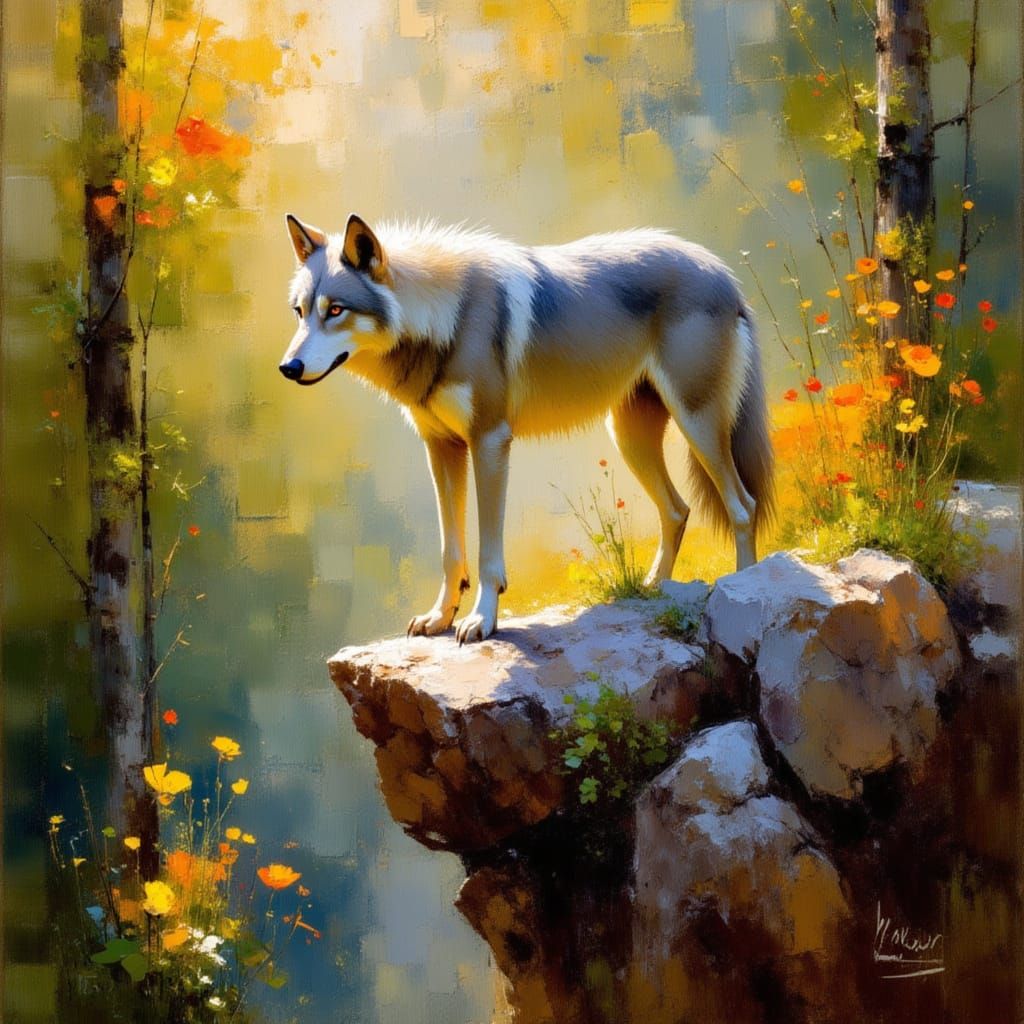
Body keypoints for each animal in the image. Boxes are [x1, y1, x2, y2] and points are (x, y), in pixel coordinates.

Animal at [280, 213, 774, 643]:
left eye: (336, 310)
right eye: (300, 312)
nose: (288, 367)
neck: (449, 318)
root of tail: (724, 273)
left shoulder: (490, 441)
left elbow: (486, 554)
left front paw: (481, 621)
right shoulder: (441, 447)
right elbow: (450, 551)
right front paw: (439, 617)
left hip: (697, 425)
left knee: (743, 506)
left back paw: (743, 591)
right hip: (630, 439)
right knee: (678, 510)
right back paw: (653, 589)